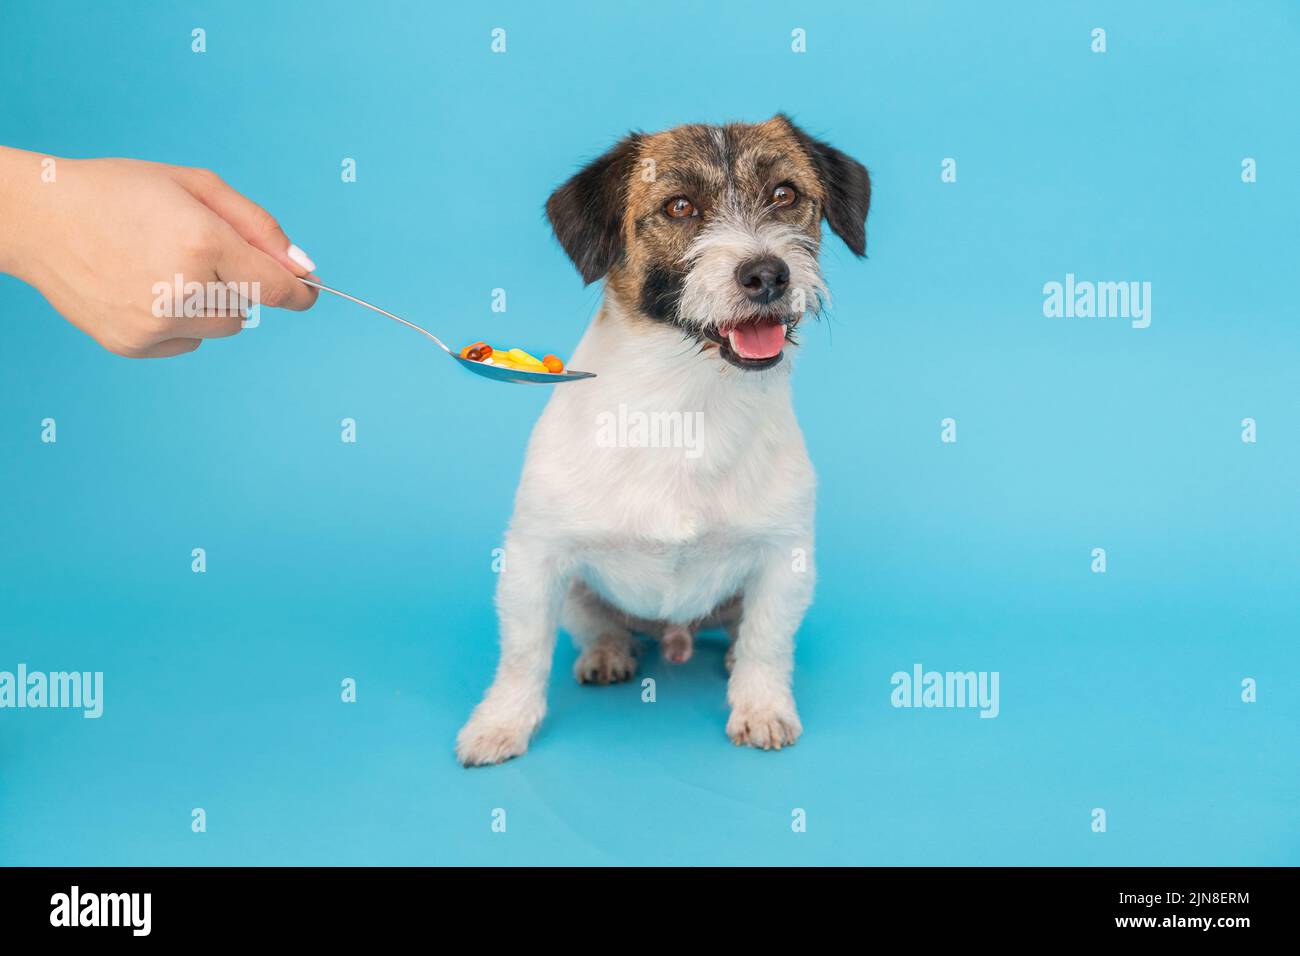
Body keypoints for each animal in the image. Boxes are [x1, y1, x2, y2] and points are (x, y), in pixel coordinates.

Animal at [452, 115, 868, 764]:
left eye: (785, 195)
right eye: (679, 206)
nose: (768, 273)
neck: (688, 401)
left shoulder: (784, 559)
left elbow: (768, 641)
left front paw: (762, 705)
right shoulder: (532, 557)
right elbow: (523, 652)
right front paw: (501, 722)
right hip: (579, 590)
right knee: (599, 624)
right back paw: (607, 653)